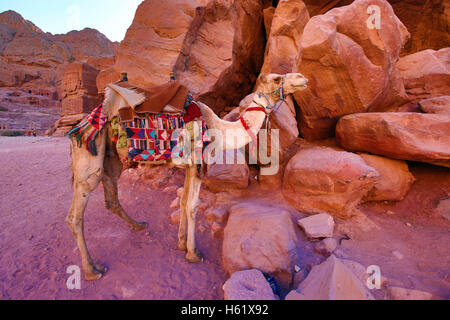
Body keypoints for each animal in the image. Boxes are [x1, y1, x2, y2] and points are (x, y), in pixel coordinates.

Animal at [67, 72, 308, 280]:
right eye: (277, 78)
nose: (302, 78)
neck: (218, 128)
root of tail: (81, 126)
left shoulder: (189, 166)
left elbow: (183, 202)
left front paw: (181, 242)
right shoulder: (198, 162)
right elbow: (192, 205)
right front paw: (193, 253)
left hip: (109, 156)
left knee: (111, 198)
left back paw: (139, 225)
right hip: (89, 159)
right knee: (75, 216)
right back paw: (92, 269)